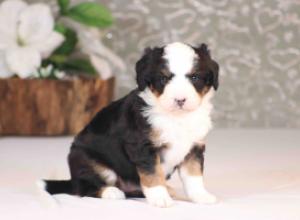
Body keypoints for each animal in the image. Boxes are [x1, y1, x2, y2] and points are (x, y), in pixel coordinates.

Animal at [45, 41, 218, 208]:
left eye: (194, 77)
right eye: (163, 79)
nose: (180, 100)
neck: (177, 118)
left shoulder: (194, 148)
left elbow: (194, 176)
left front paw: (201, 196)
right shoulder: (143, 146)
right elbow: (153, 174)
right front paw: (160, 198)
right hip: (89, 161)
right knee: (83, 188)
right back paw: (111, 192)